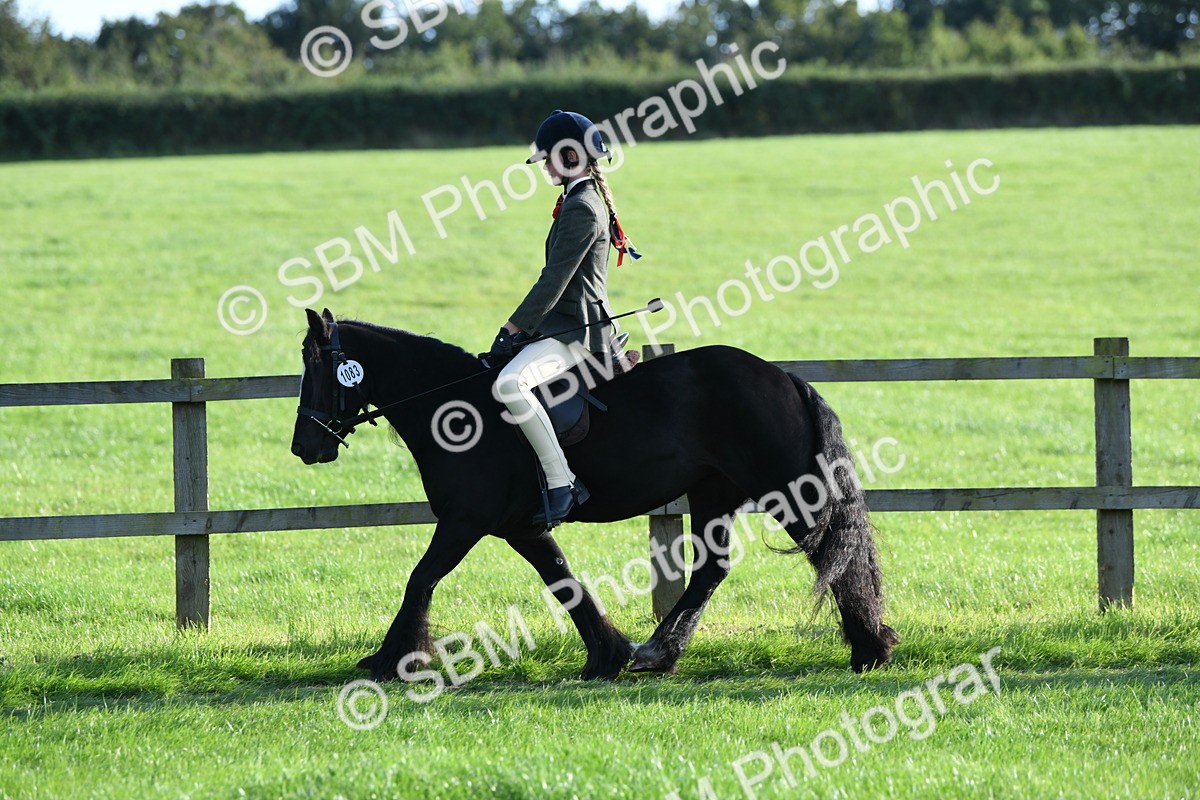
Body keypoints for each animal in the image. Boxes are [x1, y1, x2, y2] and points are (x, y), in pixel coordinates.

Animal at [291, 308, 899, 682]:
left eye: (314, 366)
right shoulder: (522, 527)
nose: (304, 447)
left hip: (786, 490)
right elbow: (564, 584)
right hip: (712, 492)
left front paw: (392, 660)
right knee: (713, 568)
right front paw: (607, 655)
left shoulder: (465, 520)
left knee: (833, 554)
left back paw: (870, 648)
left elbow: (420, 579)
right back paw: (658, 653)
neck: (453, 409)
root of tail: (782, 376)